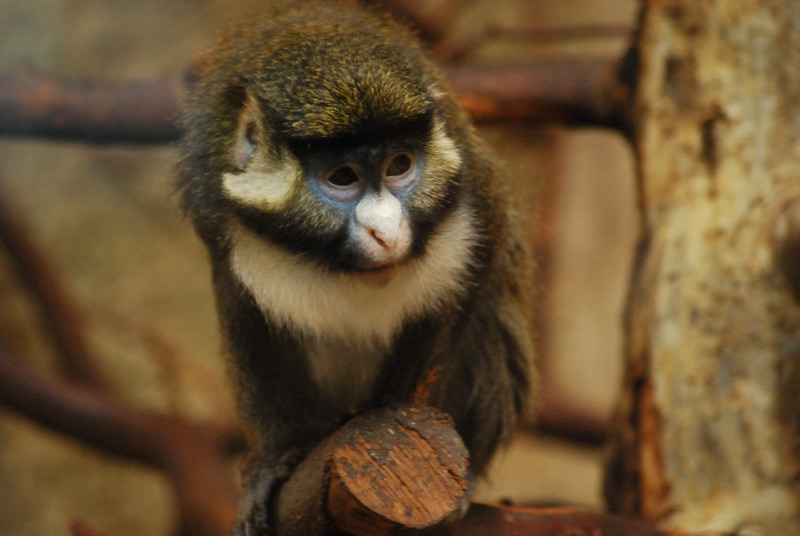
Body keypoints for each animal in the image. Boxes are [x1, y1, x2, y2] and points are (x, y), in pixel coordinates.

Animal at [177, 1, 534, 534]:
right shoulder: (214, 215)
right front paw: (275, 458)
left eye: (399, 165)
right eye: (342, 177)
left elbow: (447, 324)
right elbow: (247, 319)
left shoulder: (479, 199)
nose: (386, 232)